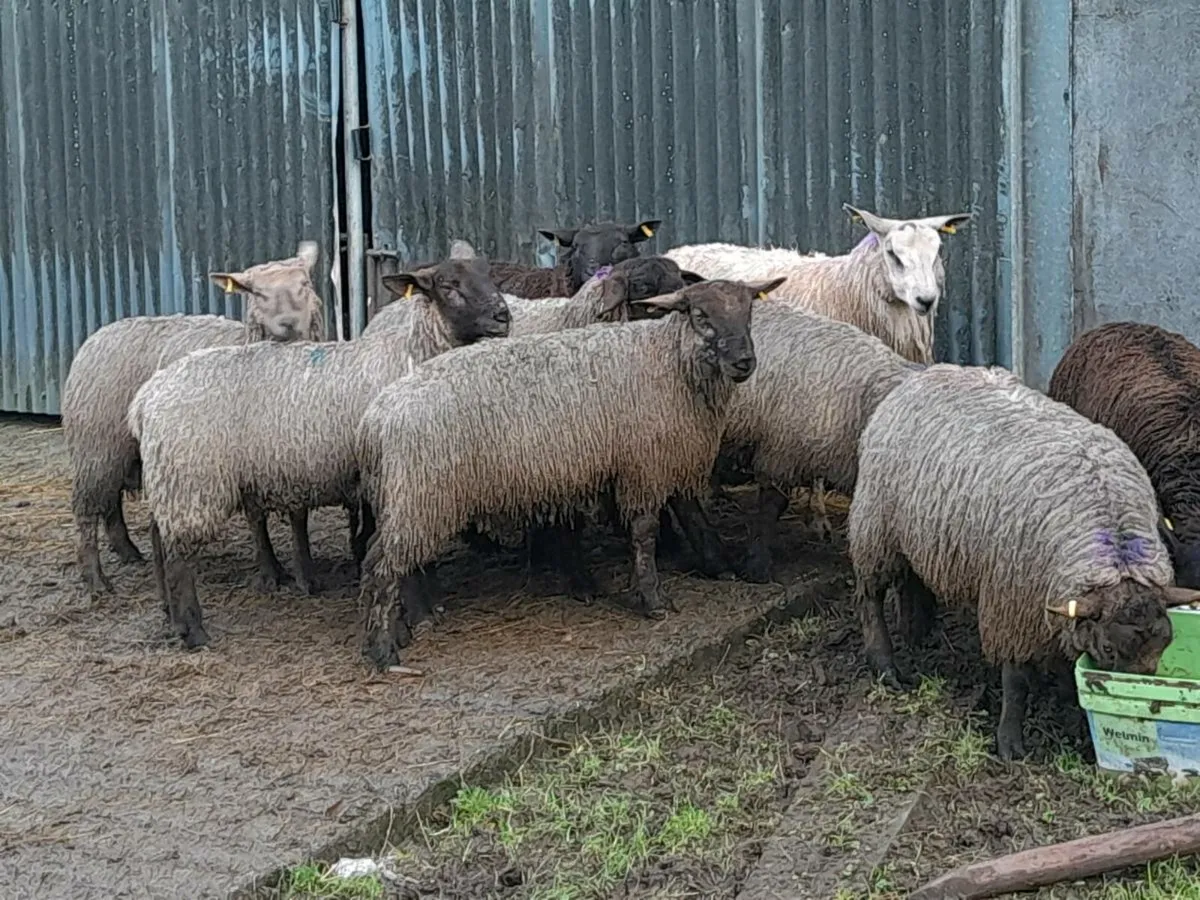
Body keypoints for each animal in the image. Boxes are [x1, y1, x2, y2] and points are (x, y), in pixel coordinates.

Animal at [62, 242, 325, 595]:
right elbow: (256, 517)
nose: (287, 324)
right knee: (87, 509)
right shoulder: (244, 459)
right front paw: (270, 572)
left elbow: (299, 517)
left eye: (305, 284)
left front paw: (305, 573)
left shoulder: (296, 456)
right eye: (255, 293)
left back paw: (127, 551)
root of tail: (98, 334)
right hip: (95, 444)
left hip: (119, 449)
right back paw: (95, 578)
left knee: (111, 501)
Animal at [126, 256, 509, 648]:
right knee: (178, 557)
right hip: (192, 480)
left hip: (172, 478)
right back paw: (194, 632)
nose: (503, 316)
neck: (411, 355)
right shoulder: (404, 476)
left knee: (159, 537)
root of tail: (146, 399)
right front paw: (418, 614)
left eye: (490, 277)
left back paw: (170, 616)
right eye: (448, 286)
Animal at [354, 276, 786, 669]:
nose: (744, 363)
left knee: (383, 556)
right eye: (700, 315)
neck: (667, 360)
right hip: (419, 494)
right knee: (383, 565)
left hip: (404, 496)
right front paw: (652, 599)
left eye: (748, 312)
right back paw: (385, 649)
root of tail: (374, 419)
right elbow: (644, 534)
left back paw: (398, 631)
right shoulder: (643, 466)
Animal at [848, 363, 1200, 760]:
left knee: (912, 578)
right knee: (869, 596)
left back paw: (917, 631)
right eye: (1109, 648)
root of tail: (927, 372)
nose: (1135, 709)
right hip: (876, 527)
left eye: (1165, 643)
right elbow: (1015, 681)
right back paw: (885, 665)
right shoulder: (1011, 605)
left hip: (918, 531)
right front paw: (1010, 742)